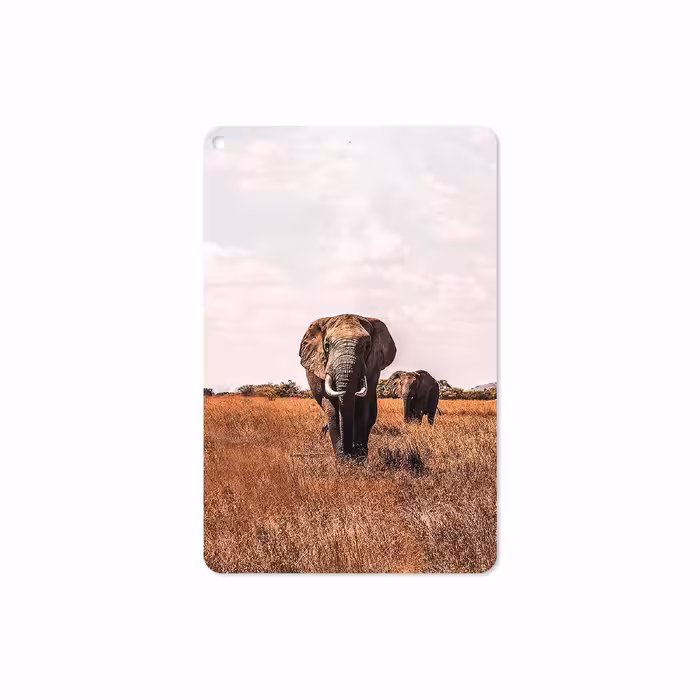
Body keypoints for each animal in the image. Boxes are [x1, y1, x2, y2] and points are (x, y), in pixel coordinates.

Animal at [300, 314, 396, 461]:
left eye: (367, 346)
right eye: (326, 345)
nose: (349, 454)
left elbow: (362, 408)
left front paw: (359, 460)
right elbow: (331, 409)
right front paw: (343, 461)